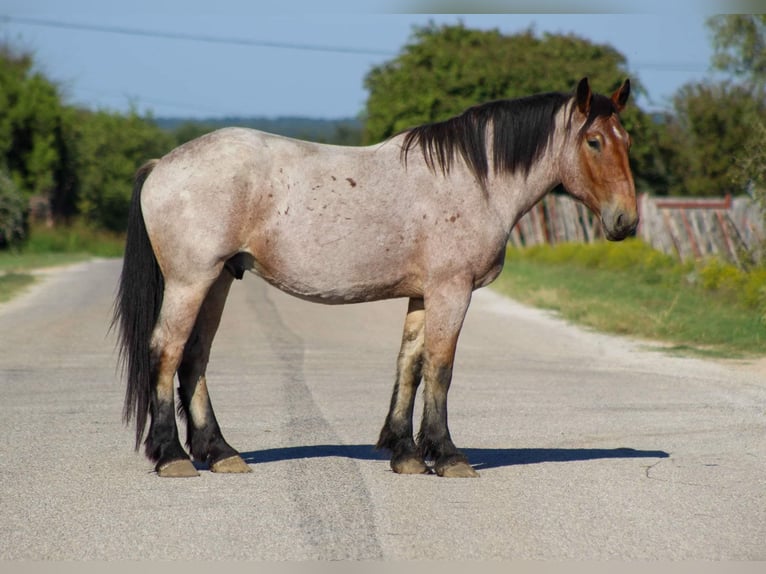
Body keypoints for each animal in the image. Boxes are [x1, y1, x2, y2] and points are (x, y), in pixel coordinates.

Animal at [113, 77, 637, 478]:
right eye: (594, 141)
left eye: (627, 141)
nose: (626, 221)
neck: (473, 181)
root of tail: (163, 165)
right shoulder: (452, 291)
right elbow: (440, 368)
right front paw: (447, 456)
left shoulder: (424, 295)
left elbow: (409, 364)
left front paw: (405, 453)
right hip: (191, 281)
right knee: (167, 351)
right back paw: (173, 457)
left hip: (218, 280)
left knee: (195, 357)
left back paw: (220, 453)